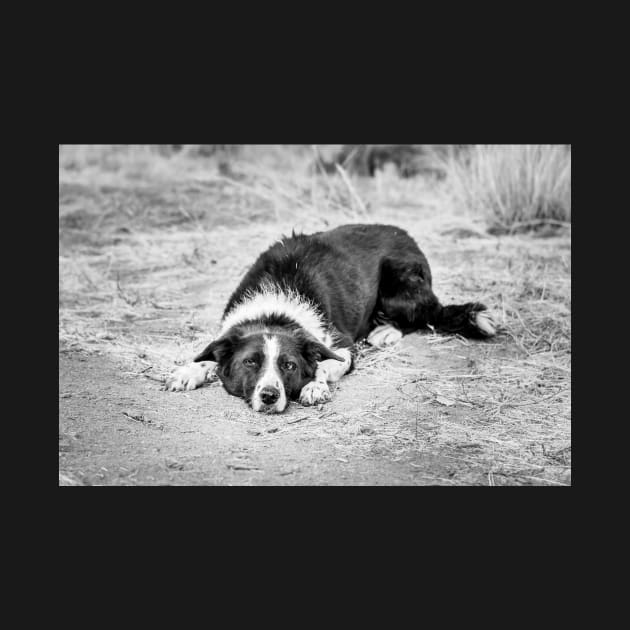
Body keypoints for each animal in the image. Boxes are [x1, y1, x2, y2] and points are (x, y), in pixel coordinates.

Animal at [165, 226, 496, 414]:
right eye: (250, 362)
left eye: (289, 366)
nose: (270, 396)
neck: (275, 307)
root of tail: (408, 237)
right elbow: (207, 354)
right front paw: (189, 370)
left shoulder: (343, 346)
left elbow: (325, 363)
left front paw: (314, 386)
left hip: (399, 288)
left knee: (424, 315)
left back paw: (385, 331)